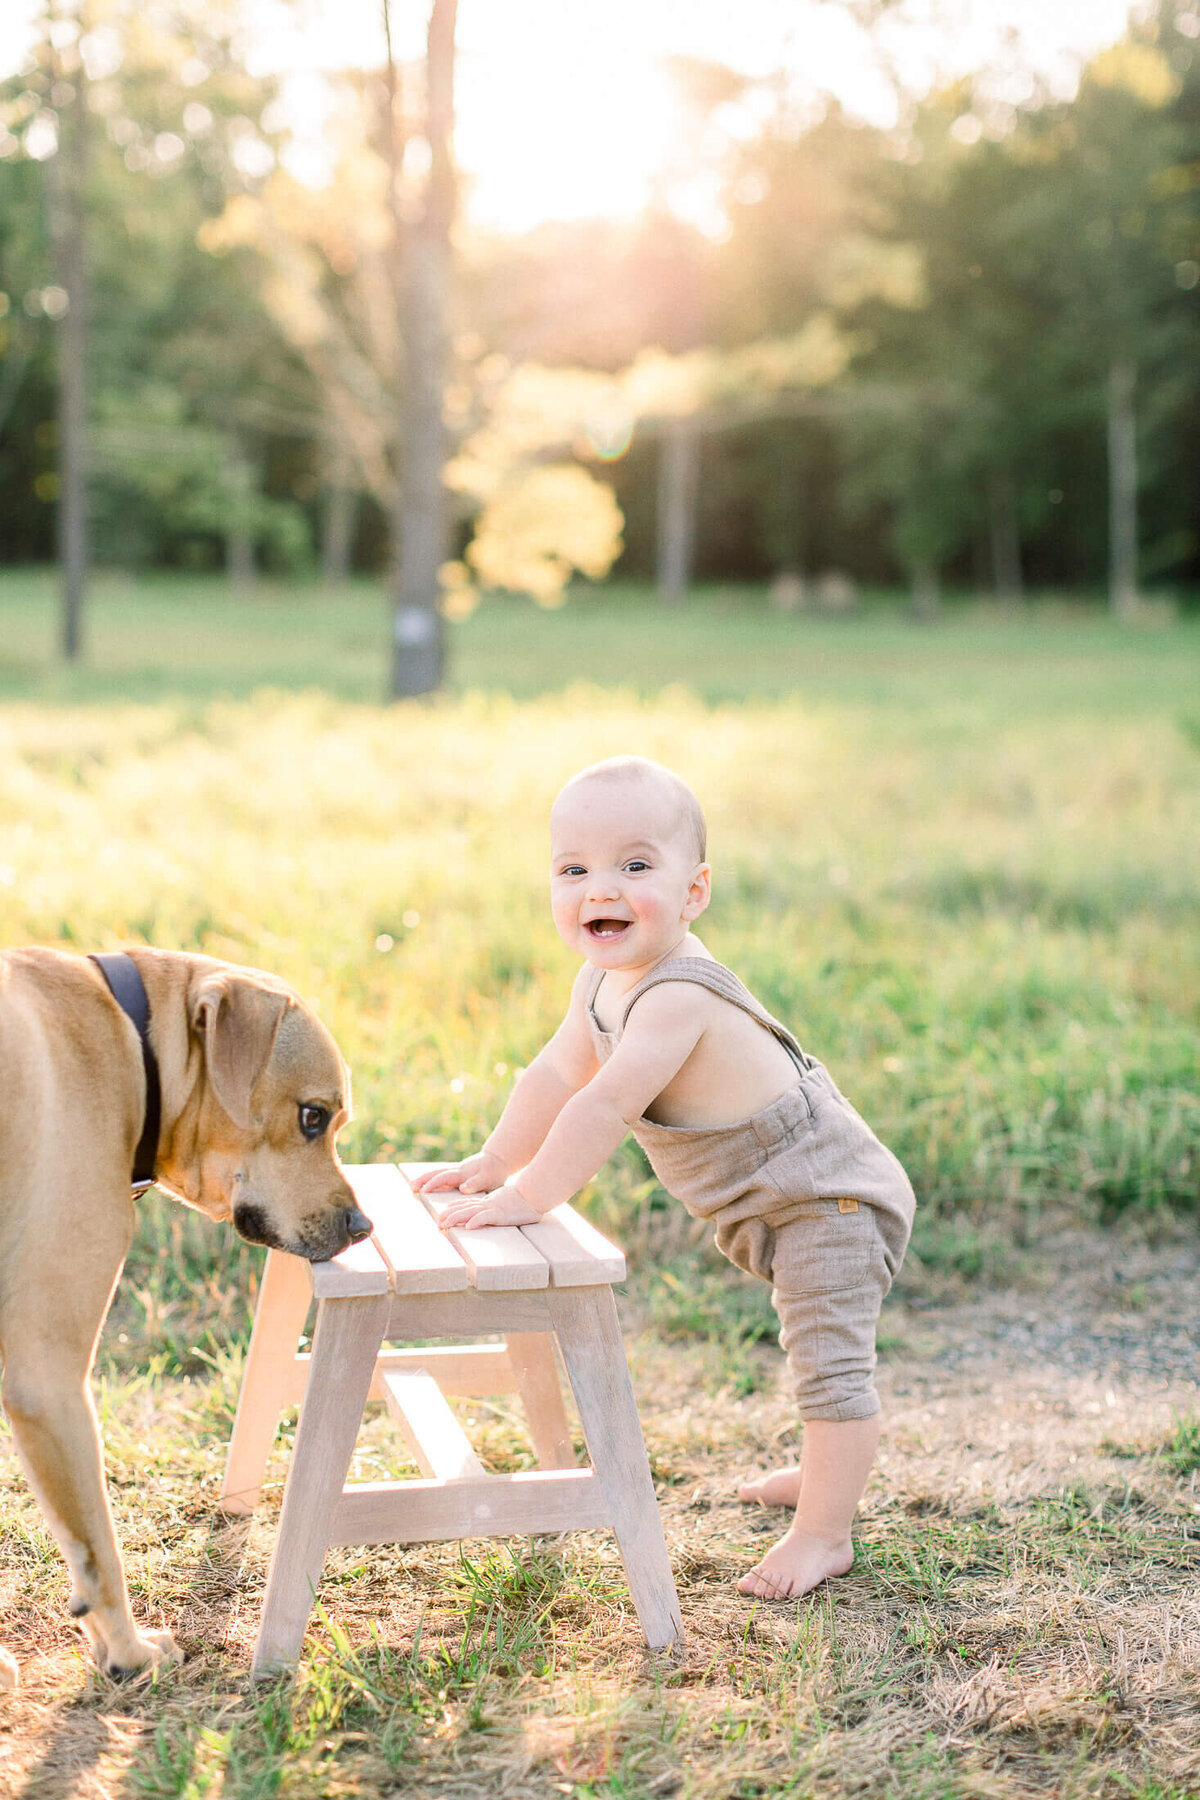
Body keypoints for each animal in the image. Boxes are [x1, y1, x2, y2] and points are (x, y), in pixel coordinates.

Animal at [0, 943, 370, 1684]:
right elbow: (97, 1548)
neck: (132, 1043)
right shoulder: (47, 1378)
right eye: (313, 1117)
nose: (363, 1226)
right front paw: (127, 1652)